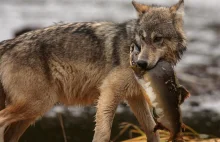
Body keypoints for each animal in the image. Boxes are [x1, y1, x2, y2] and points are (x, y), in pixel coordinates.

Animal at [0, 0, 186, 141]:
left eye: (157, 39)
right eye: (142, 38)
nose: (140, 63)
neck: (130, 46)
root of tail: (7, 44)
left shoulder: (135, 97)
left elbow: (152, 131)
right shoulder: (109, 91)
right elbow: (103, 133)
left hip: (31, 114)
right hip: (37, 105)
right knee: (1, 119)